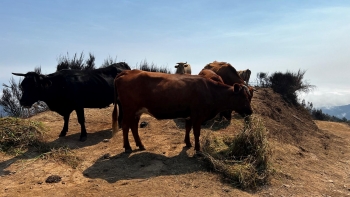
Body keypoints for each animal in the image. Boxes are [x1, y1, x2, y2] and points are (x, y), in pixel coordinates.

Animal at [112, 69, 252, 152]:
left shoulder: (189, 115)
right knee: (125, 126)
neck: (210, 91)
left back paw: (140, 145)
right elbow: (196, 132)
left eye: (249, 97)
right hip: (129, 110)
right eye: (244, 98)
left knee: (133, 127)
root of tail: (127, 72)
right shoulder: (197, 116)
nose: (250, 112)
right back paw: (128, 147)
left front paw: (188, 143)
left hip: (137, 111)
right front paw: (197, 149)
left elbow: (188, 128)